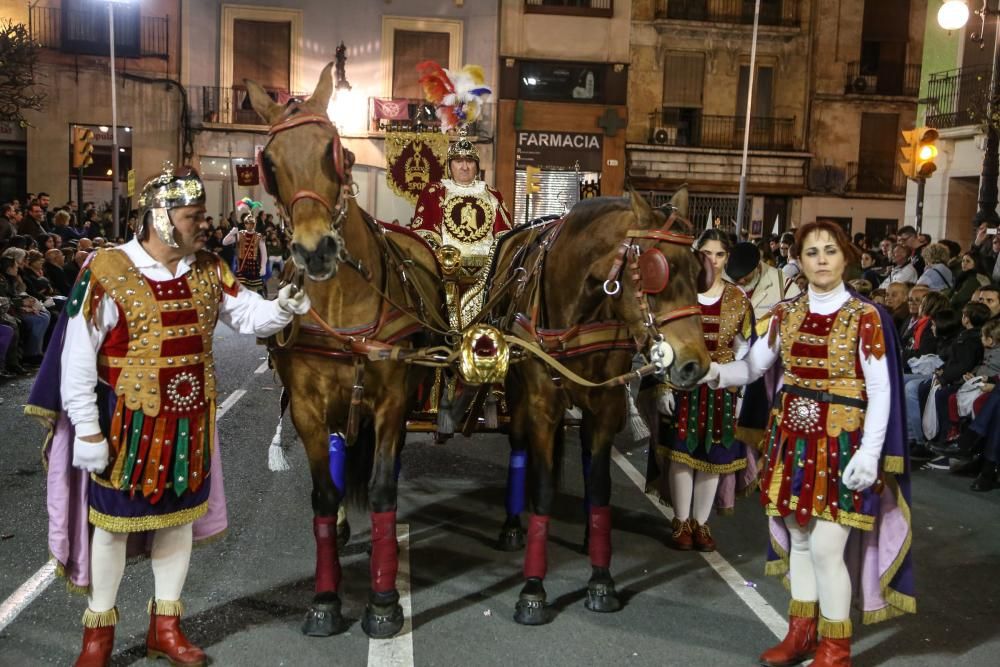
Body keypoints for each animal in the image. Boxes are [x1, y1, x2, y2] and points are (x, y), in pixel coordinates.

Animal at [244, 65, 444, 640]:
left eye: (334, 150)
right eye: (269, 164)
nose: (315, 251)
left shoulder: (393, 402)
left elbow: (380, 491)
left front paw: (383, 601)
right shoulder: (309, 409)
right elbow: (323, 493)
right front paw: (326, 600)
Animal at [486, 189, 712, 628]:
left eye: (700, 272)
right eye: (658, 271)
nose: (696, 365)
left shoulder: (606, 406)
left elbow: (601, 485)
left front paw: (601, 579)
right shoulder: (541, 405)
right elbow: (542, 488)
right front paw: (533, 590)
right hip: (518, 399)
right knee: (520, 450)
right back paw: (511, 527)